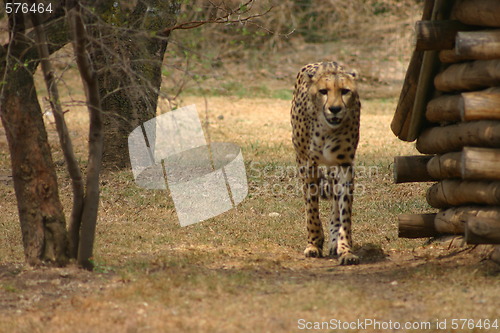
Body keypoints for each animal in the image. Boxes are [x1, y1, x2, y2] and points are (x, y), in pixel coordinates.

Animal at [292, 61, 362, 264]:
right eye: (323, 91)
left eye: (345, 91)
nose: (335, 109)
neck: (327, 130)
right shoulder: (308, 165)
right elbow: (311, 209)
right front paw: (314, 244)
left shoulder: (345, 165)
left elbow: (344, 211)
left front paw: (345, 249)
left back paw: (334, 241)